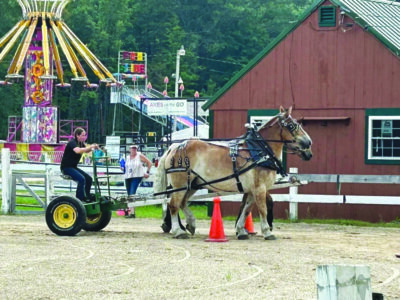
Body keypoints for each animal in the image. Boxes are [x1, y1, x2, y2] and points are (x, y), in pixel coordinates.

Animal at [153, 106, 312, 240]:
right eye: (292, 126)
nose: (309, 144)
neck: (260, 151)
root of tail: (174, 147)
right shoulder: (260, 188)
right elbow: (263, 209)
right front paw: (267, 232)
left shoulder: (252, 190)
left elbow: (246, 209)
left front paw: (241, 231)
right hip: (180, 184)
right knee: (173, 205)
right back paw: (178, 231)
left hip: (193, 184)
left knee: (182, 202)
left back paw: (191, 224)